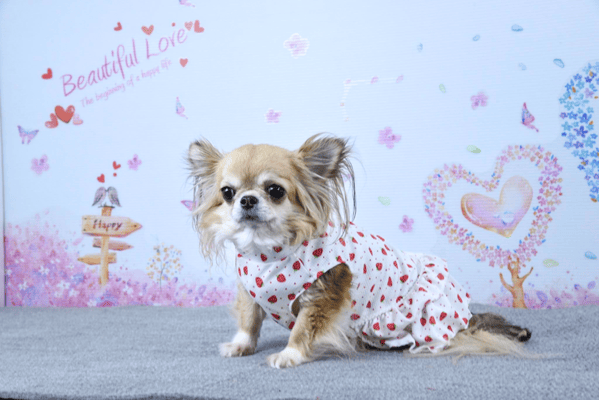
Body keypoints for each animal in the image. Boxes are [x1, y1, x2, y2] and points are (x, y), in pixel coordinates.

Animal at [187, 133, 533, 368]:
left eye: (275, 190)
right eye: (227, 192)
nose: (246, 200)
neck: (268, 253)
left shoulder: (323, 292)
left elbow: (303, 327)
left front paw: (289, 354)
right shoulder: (249, 291)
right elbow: (249, 321)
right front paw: (240, 346)